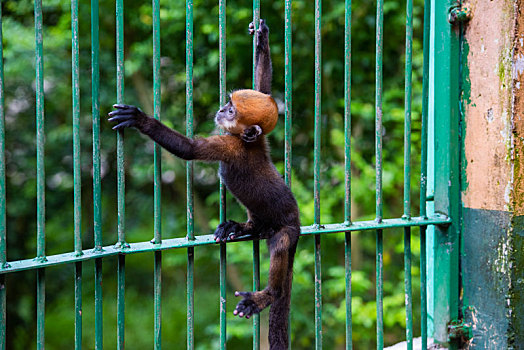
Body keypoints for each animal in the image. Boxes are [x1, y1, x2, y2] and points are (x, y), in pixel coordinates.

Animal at [107, 19, 298, 350]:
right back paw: (241, 227)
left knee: (281, 248)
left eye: (232, 110)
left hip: (287, 228)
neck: (245, 141)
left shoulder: (230, 146)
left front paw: (142, 121)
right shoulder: (258, 139)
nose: (221, 109)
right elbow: (264, 88)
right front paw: (262, 39)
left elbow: (190, 150)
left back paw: (264, 296)